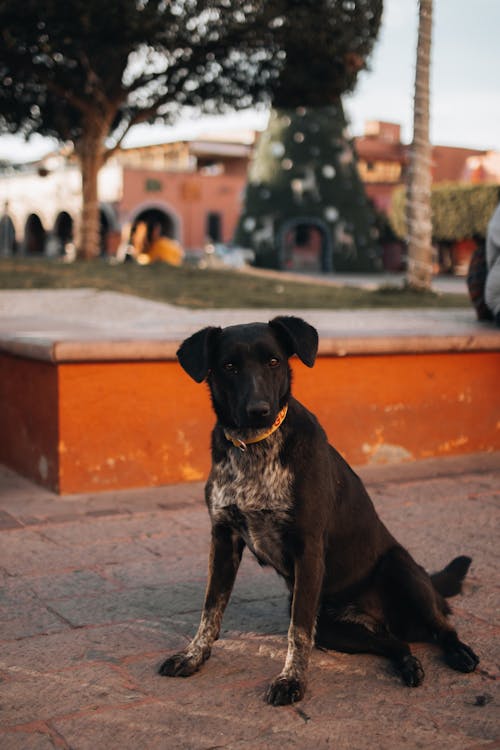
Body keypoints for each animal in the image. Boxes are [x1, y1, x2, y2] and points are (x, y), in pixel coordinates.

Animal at [159, 316, 476, 704]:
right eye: (229, 366)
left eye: (274, 361)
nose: (259, 410)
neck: (255, 449)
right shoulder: (223, 539)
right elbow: (210, 610)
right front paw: (193, 656)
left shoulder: (307, 550)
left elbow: (297, 632)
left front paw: (291, 681)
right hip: (334, 629)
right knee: (396, 643)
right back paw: (408, 666)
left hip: (402, 573)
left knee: (441, 626)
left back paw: (459, 652)